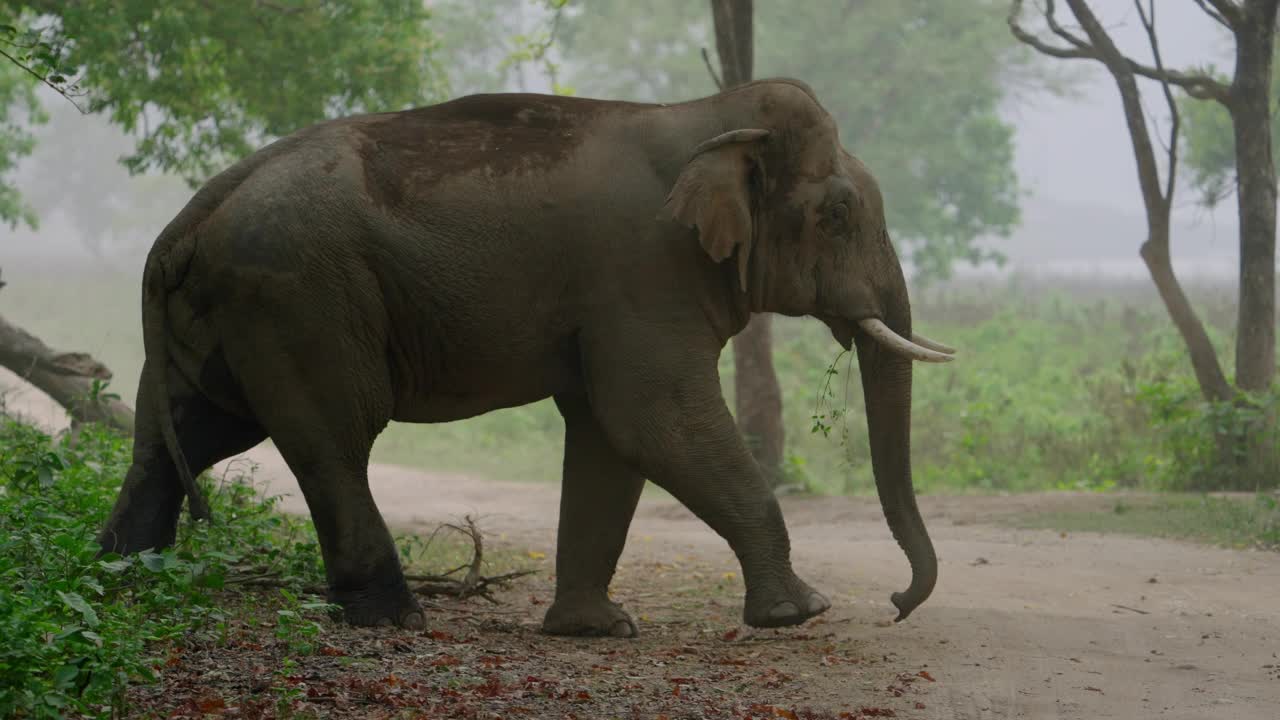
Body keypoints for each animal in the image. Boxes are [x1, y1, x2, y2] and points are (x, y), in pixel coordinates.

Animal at [97, 78, 952, 635]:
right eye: (839, 215)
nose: (897, 605)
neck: (707, 117)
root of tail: (188, 219)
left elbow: (609, 436)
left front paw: (594, 629)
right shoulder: (640, 271)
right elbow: (653, 419)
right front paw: (801, 614)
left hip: (226, 314)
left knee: (186, 434)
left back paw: (122, 581)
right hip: (298, 296)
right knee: (333, 439)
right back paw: (393, 619)